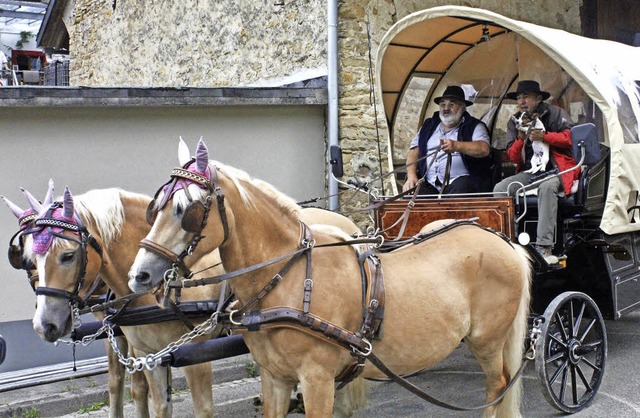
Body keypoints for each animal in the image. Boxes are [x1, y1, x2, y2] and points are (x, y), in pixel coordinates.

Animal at [2, 189, 150, 418]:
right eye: (27, 258)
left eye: (69, 256)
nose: (44, 324)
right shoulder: (112, 328)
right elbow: (115, 380)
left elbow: (139, 385)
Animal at [127, 140, 532, 418]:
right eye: (156, 206)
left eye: (186, 210)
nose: (139, 275)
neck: (290, 279)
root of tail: (501, 240)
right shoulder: (275, 378)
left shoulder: (317, 379)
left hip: (487, 340)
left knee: (497, 385)